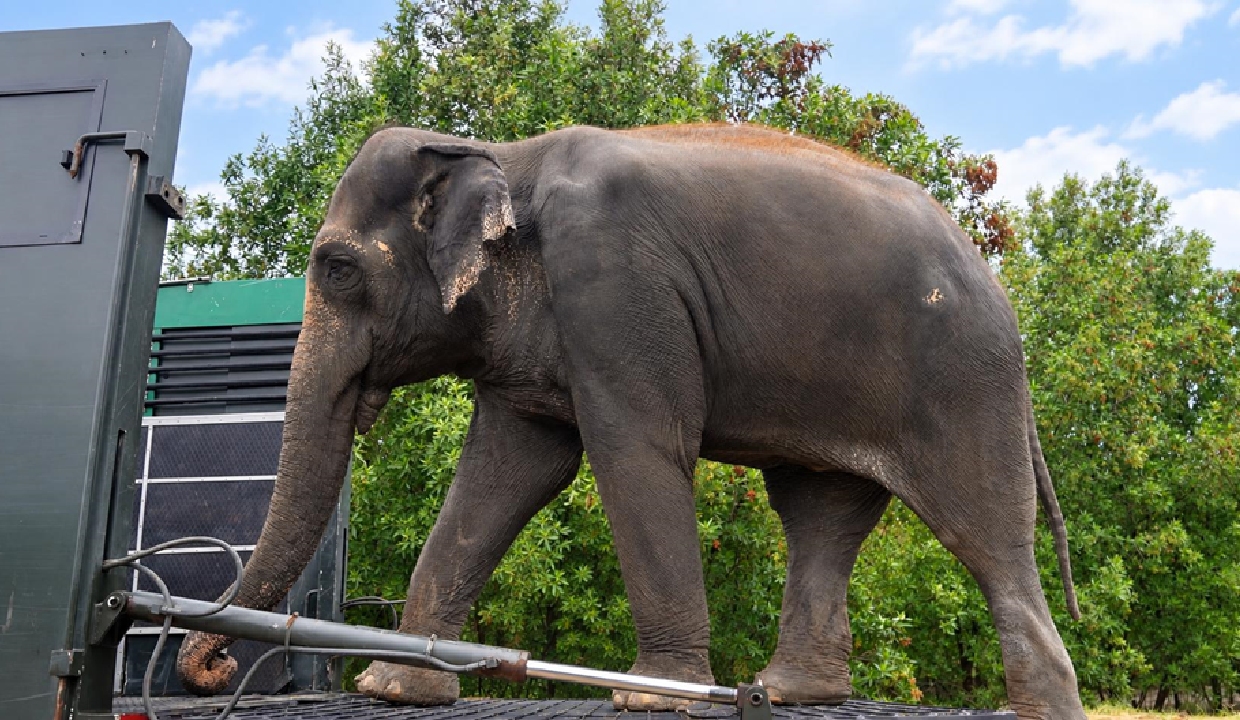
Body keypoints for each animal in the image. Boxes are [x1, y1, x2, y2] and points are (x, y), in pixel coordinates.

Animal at [176, 122, 1086, 720]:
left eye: (336, 268)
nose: (211, 666)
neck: (502, 153)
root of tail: (995, 280)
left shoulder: (615, 289)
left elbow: (634, 451)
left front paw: (653, 698)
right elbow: (508, 471)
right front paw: (396, 690)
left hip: (963, 381)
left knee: (986, 534)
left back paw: (1039, 706)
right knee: (818, 516)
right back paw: (790, 691)